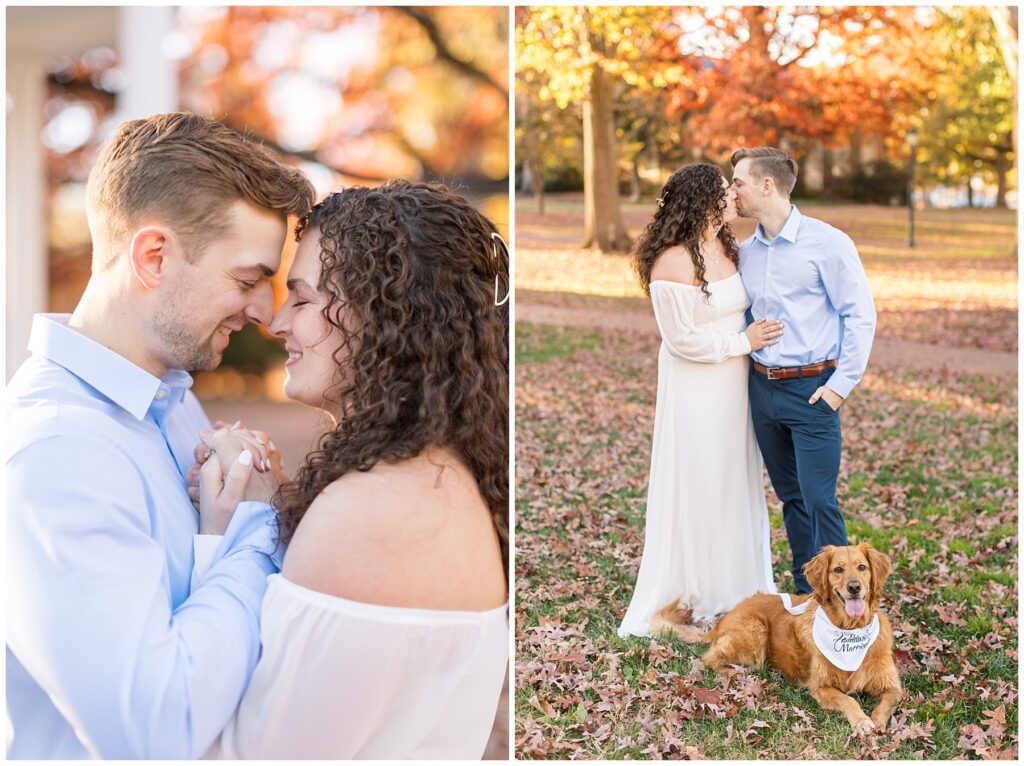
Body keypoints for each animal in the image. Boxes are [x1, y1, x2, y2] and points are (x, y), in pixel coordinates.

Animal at [651, 540, 901, 733]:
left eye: (862, 567)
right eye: (838, 570)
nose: (854, 587)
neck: (850, 630)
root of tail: (726, 617)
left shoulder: (893, 687)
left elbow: (885, 704)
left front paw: (876, 721)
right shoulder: (820, 686)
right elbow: (848, 699)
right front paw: (861, 721)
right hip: (755, 628)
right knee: (709, 658)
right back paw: (737, 672)